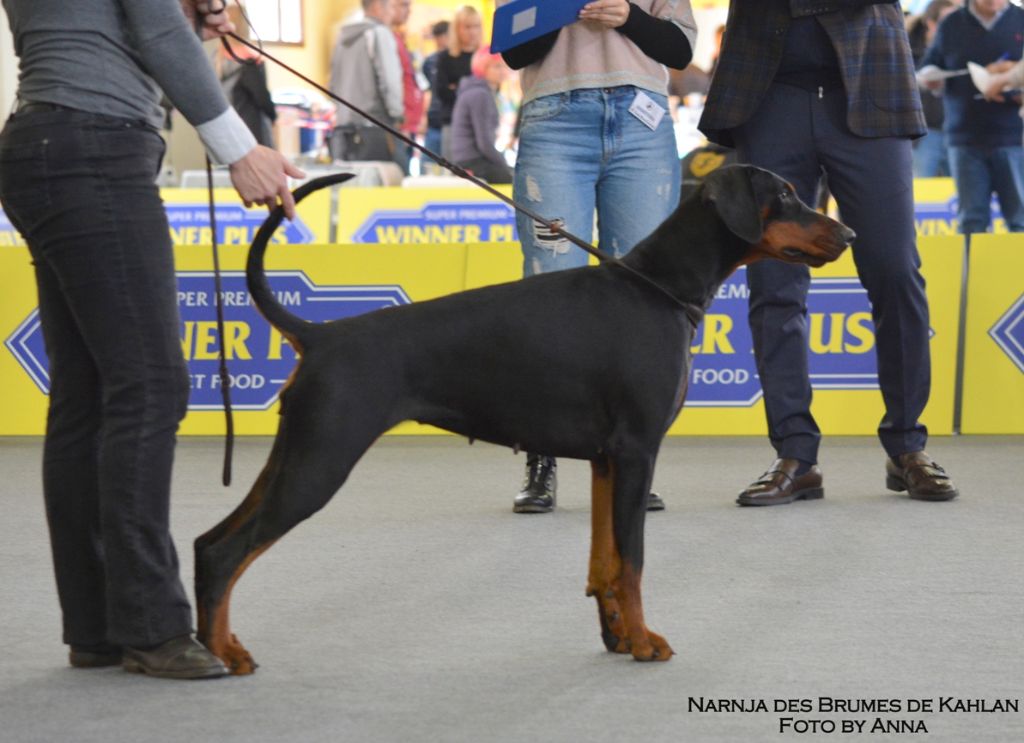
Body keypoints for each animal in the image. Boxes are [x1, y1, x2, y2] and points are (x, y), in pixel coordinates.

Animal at [194, 164, 855, 673]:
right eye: (786, 195)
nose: (848, 231)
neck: (658, 287)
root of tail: (319, 336)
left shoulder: (607, 460)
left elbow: (605, 562)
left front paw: (618, 636)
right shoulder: (637, 450)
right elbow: (634, 561)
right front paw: (645, 643)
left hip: (295, 454)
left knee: (208, 543)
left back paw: (215, 645)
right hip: (321, 460)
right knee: (229, 553)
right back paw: (223, 654)